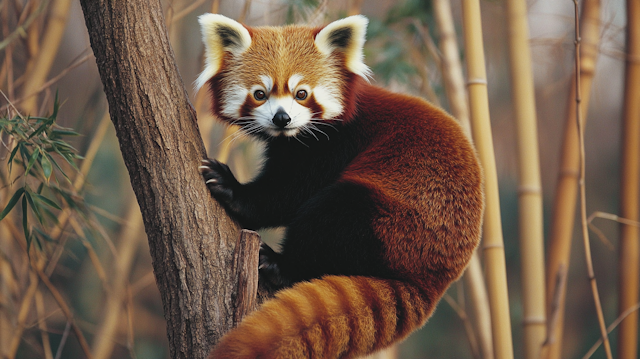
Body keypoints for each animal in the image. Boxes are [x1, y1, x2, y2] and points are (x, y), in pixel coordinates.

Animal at [198, 13, 482, 359]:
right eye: (259, 94)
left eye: (301, 93)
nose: (282, 118)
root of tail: (432, 284)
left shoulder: (334, 144)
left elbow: (287, 195)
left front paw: (232, 190)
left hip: (394, 224)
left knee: (332, 215)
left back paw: (280, 264)